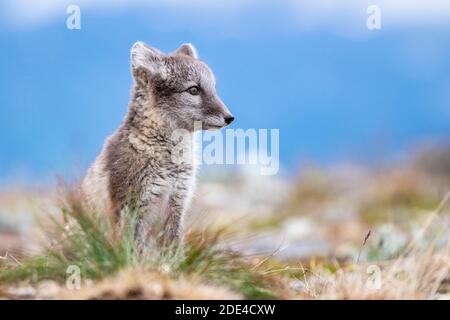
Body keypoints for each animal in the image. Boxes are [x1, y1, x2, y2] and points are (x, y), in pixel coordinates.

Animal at [82, 42, 234, 248]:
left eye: (213, 88)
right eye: (194, 90)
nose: (230, 118)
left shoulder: (177, 202)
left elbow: (173, 248)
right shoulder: (133, 208)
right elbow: (136, 250)